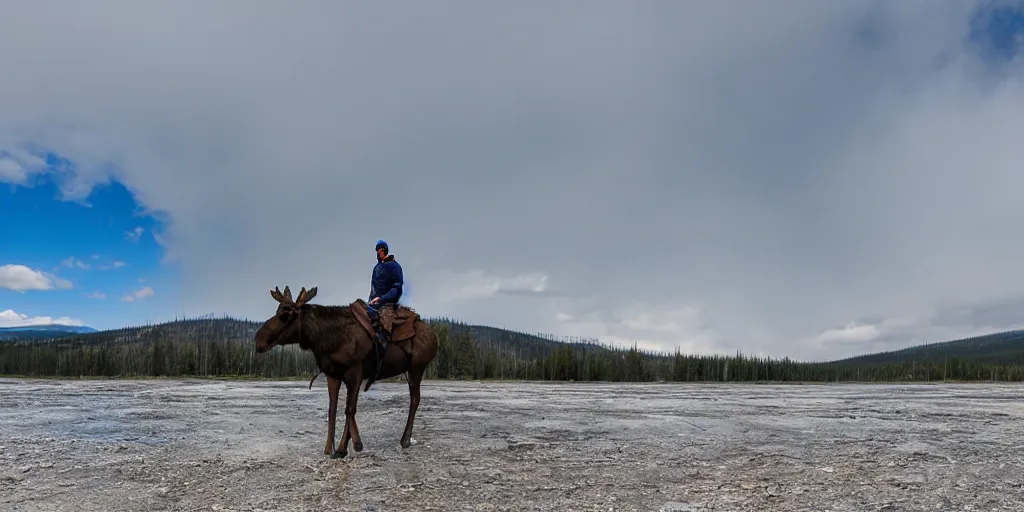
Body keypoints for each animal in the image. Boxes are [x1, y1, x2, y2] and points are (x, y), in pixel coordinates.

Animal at [254, 286, 436, 458]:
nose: (258, 340)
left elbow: (349, 410)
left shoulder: (354, 373)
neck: (325, 340)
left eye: (285, 315)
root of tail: (431, 333)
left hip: (416, 368)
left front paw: (350, 446)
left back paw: (405, 439)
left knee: (415, 399)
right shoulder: (332, 374)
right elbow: (333, 410)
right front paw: (332, 449)